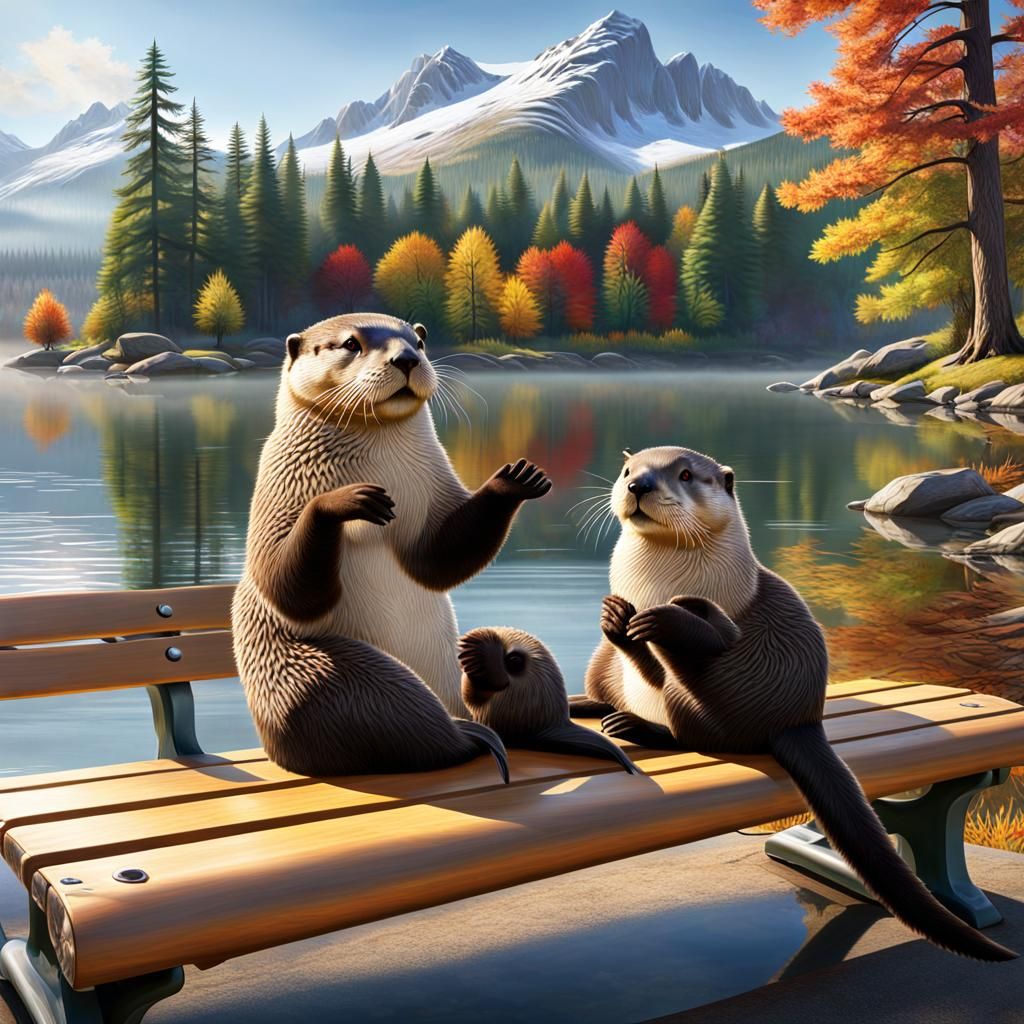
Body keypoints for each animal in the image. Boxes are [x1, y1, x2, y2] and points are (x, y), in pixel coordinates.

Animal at [232, 313, 551, 780]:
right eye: (351, 343)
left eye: (418, 340)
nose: (406, 359)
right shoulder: (279, 492)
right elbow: (284, 586)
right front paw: (345, 500)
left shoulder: (433, 493)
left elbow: (436, 562)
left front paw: (514, 479)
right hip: (330, 676)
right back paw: (469, 736)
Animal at [573, 445, 1014, 962]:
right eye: (628, 470)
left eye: (683, 474)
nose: (638, 485)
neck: (652, 586)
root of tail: (799, 719)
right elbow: (640, 660)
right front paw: (619, 618)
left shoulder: (730, 622)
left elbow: (710, 640)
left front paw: (669, 621)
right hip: (602, 665)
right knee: (623, 677)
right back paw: (592, 697)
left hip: (727, 692)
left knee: (701, 725)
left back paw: (640, 720)